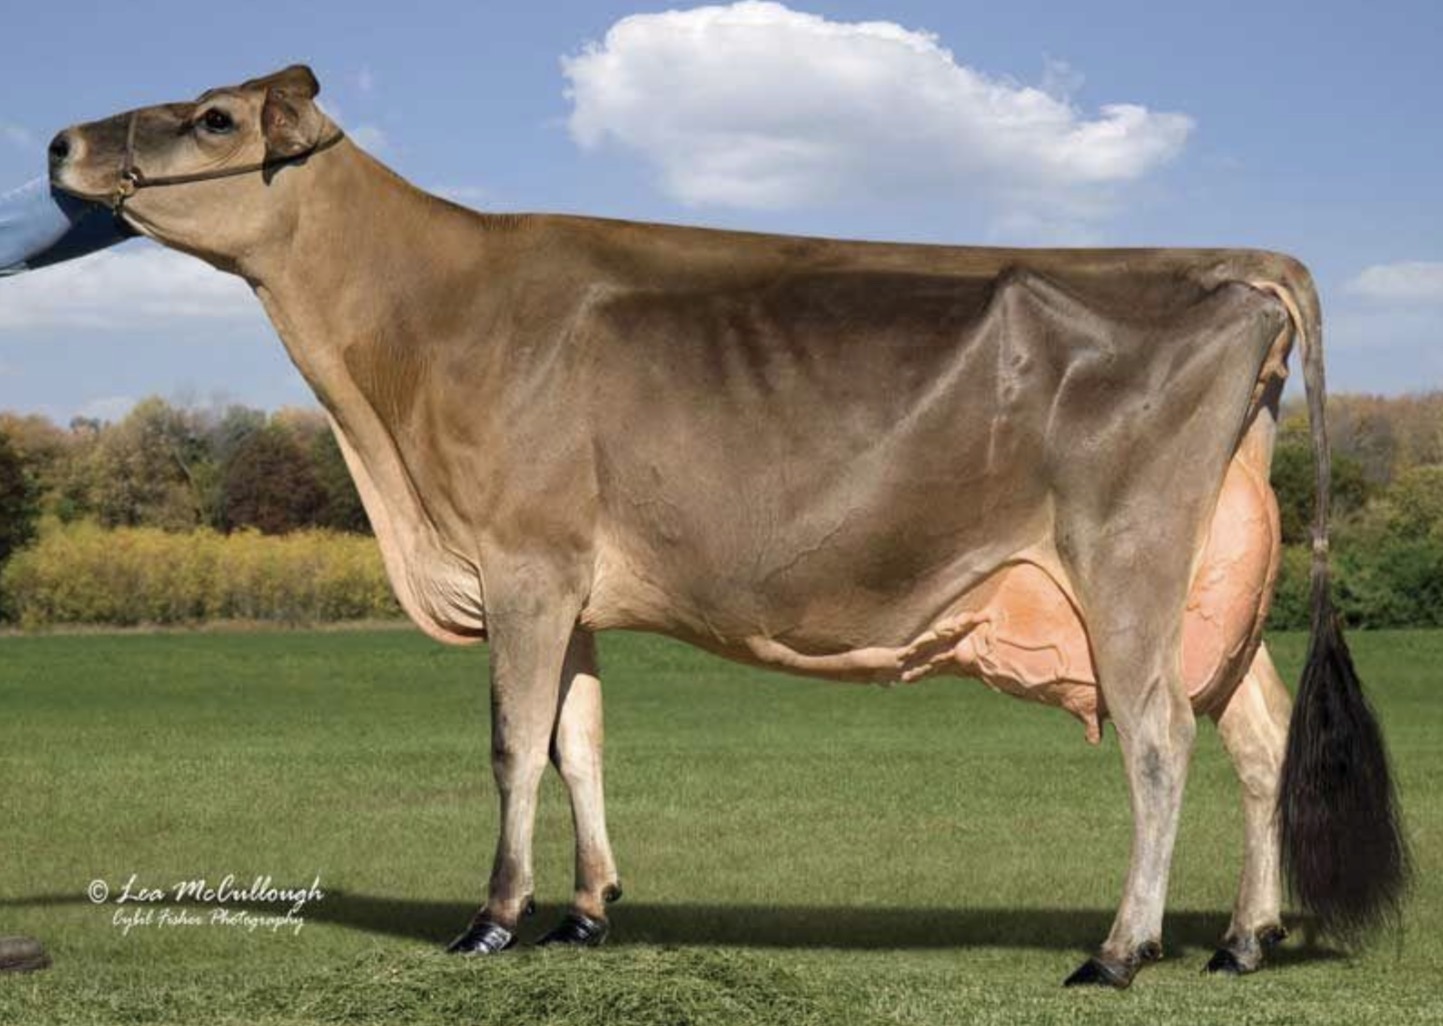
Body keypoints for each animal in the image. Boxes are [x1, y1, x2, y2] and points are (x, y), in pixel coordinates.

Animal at [46, 65, 1407, 987]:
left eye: (213, 119)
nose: (59, 137)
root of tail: (1233, 264)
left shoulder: (523, 561)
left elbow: (511, 746)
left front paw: (493, 919)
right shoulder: (571, 584)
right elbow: (579, 742)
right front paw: (588, 911)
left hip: (1124, 560)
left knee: (1161, 740)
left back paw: (1121, 950)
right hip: (1213, 580)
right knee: (1258, 738)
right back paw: (1244, 939)